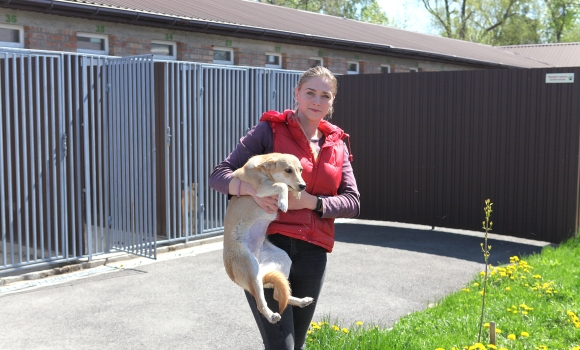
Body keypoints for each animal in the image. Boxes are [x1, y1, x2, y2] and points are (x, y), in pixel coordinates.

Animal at [223, 152, 314, 324]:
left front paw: (296, 194)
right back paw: (271, 316)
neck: (263, 170)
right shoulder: (261, 188)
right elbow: (282, 185)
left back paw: (302, 301)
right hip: (251, 268)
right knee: (261, 303)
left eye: (301, 170)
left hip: (282, 260)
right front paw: (284, 202)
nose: (303, 186)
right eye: (287, 170)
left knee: (278, 295)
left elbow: (286, 187)